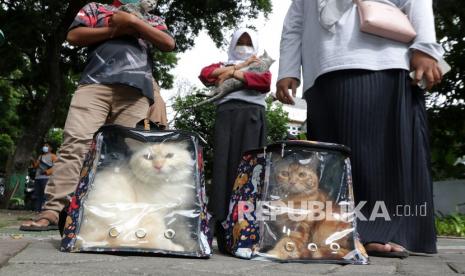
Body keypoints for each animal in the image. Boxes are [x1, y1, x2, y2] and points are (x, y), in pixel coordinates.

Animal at [60, 124, 211, 258]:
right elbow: (161, 237)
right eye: (148, 157)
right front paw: (174, 248)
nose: (158, 166)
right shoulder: (153, 213)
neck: (167, 185)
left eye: (169, 156)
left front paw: (195, 247)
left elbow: (185, 235)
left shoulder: (178, 216)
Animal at [223, 141, 368, 264]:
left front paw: (275, 254)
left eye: (302, 175)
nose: (292, 181)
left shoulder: (300, 227)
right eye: (285, 174)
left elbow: (287, 243)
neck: (291, 200)